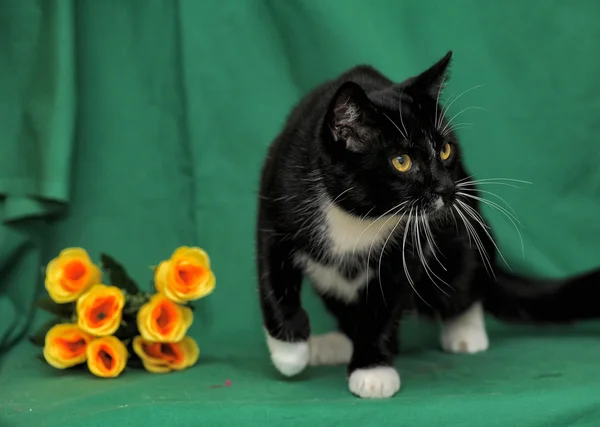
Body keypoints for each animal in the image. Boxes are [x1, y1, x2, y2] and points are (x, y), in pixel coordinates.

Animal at [254, 51, 600, 400]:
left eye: (445, 150)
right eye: (402, 161)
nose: (447, 190)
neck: (360, 217)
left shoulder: (406, 247)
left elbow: (385, 306)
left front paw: (373, 370)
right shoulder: (276, 197)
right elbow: (272, 280)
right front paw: (290, 353)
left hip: (463, 236)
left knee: (464, 283)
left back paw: (465, 331)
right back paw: (334, 344)